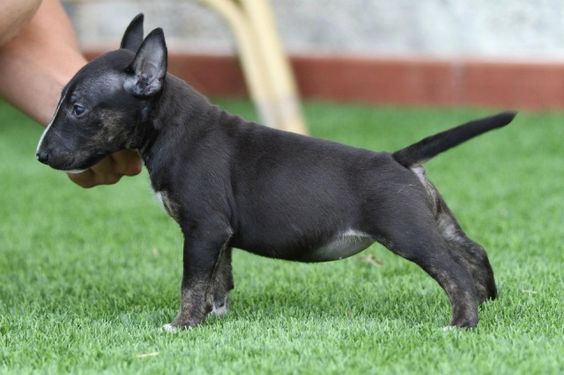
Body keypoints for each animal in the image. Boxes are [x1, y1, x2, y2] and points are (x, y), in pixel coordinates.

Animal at [36, 14, 516, 330]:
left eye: (78, 109)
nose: (40, 155)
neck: (172, 126)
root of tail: (398, 159)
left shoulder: (204, 228)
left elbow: (192, 281)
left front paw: (183, 324)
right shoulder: (219, 233)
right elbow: (218, 277)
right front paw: (215, 315)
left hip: (406, 231)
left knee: (452, 270)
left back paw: (462, 323)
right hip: (434, 220)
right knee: (474, 251)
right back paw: (490, 304)